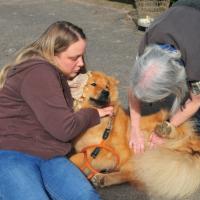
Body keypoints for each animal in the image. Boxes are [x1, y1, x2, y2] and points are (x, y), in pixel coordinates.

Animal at [69, 71, 200, 199]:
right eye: (93, 84)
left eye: (107, 87)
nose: (106, 93)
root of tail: (187, 152)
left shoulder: (106, 151)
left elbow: (77, 157)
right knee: (129, 174)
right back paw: (103, 178)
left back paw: (165, 130)